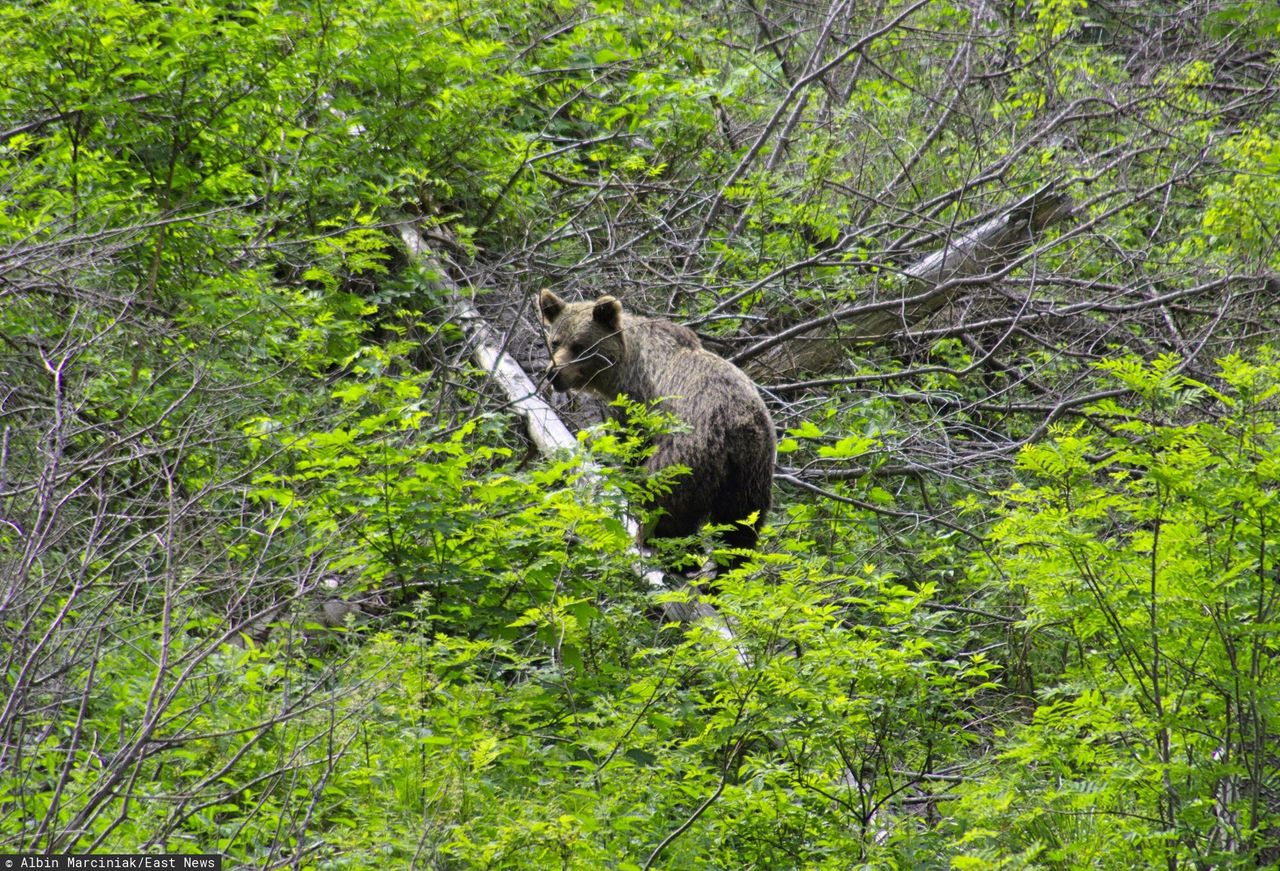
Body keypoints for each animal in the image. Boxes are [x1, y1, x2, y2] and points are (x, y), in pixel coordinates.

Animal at [537, 289, 773, 568]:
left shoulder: (636, 401)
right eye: (555, 342)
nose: (553, 373)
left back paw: (653, 541)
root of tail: (737, 426)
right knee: (741, 522)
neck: (623, 366)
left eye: (580, 346)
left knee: (665, 497)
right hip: (751, 470)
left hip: (690, 451)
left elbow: (632, 445)